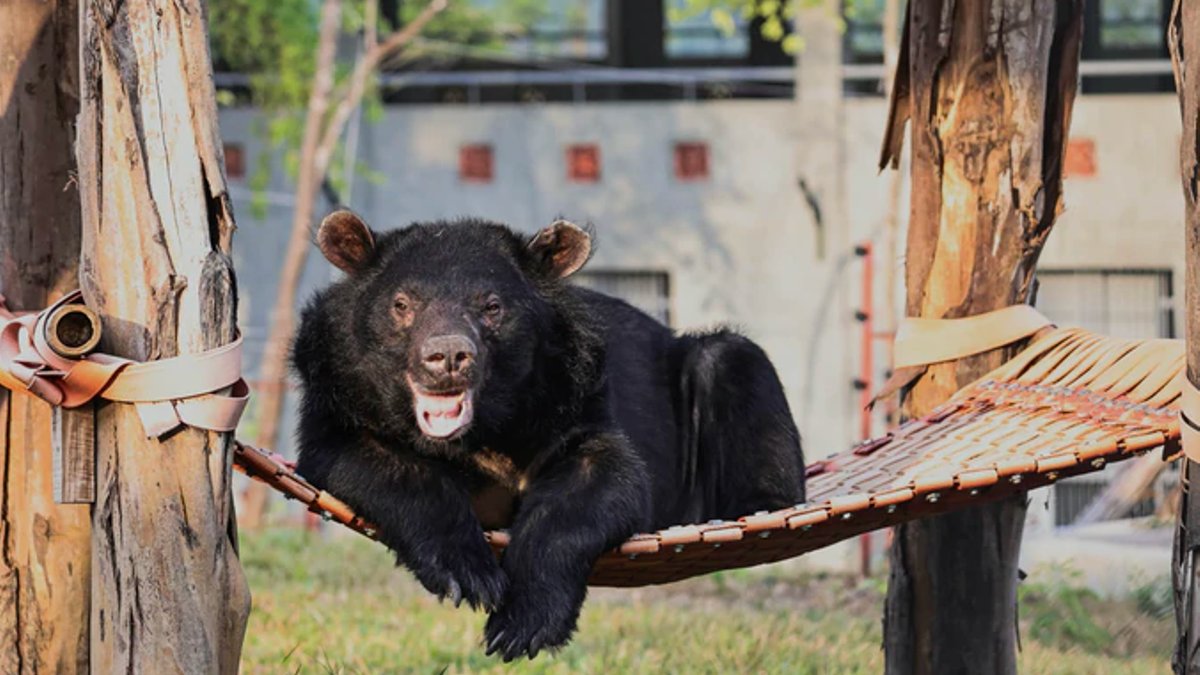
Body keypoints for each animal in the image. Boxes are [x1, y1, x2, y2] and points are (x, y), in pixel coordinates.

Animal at [291, 210, 806, 661]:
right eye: (402, 305)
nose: (448, 357)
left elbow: (599, 481)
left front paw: (522, 623)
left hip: (717, 379)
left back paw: (755, 510)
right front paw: (468, 574)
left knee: (734, 360)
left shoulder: (573, 395)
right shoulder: (336, 390)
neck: (481, 433)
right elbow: (365, 460)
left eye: (492, 306)